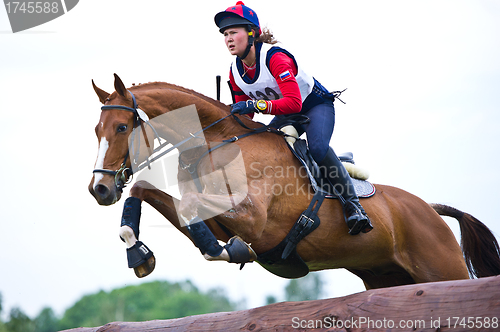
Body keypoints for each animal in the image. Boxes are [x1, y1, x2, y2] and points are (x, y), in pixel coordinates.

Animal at [88, 74, 498, 290]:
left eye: (122, 128)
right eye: (96, 130)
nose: (100, 189)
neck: (217, 142)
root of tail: (431, 210)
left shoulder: (253, 218)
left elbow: (190, 207)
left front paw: (229, 252)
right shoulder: (221, 222)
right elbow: (145, 192)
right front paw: (138, 253)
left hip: (443, 268)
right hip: (389, 278)